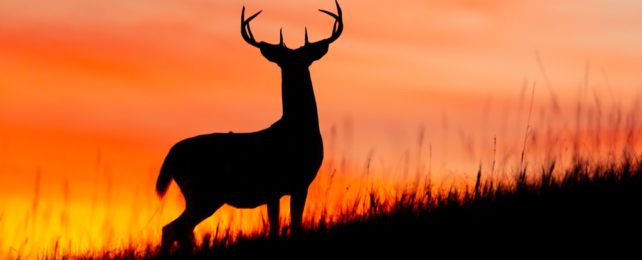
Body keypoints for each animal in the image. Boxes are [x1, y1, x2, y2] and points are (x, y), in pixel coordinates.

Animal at [154, 0, 340, 254]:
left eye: (304, 59)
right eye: (285, 61)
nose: (295, 68)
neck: (297, 130)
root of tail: (171, 153)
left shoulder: (284, 188)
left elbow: (281, 226)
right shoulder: (291, 182)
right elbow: (287, 227)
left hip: (200, 194)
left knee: (177, 229)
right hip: (204, 192)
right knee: (174, 228)